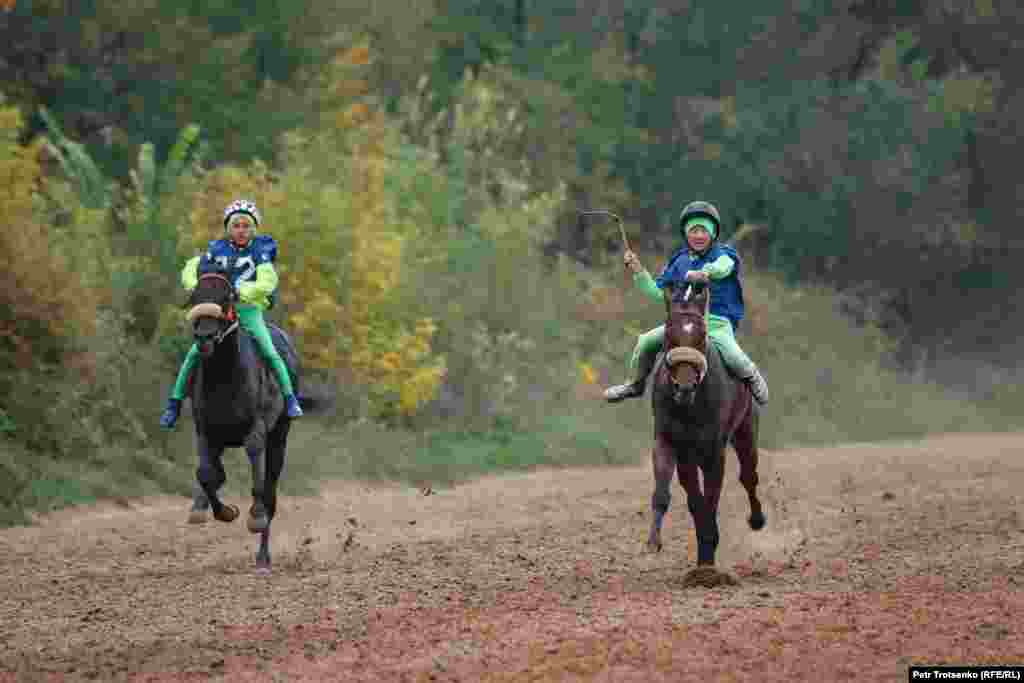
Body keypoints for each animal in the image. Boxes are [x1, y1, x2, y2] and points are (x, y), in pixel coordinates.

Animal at [184, 264, 299, 573]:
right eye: (195, 295)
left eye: (227, 297)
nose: (205, 338)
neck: (224, 377)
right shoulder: (205, 430)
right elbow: (206, 474)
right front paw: (221, 510)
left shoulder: (257, 429)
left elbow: (257, 477)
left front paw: (255, 516)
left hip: (280, 436)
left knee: (270, 493)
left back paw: (263, 556)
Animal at [643, 280, 765, 585]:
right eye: (669, 333)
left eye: (701, 336)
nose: (684, 387)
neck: (690, 405)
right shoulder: (669, 442)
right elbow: (670, 494)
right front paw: (654, 542)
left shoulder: (713, 449)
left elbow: (711, 498)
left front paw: (708, 566)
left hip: (746, 429)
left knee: (749, 476)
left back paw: (757, 520)